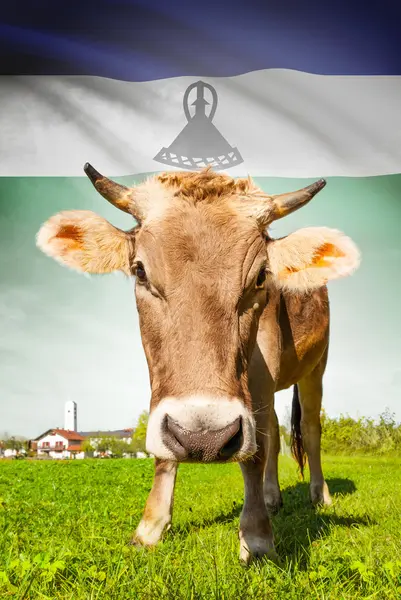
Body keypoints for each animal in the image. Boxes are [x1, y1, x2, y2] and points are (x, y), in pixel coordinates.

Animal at [36, 164, 360, 564]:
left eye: (260, 276)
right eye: (139, 271)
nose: (203, 438)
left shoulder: (263, 366)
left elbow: (254, 452)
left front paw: (257, 537)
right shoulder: (164, 380)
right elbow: (167, 448)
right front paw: (150, 528)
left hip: (316, 367)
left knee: (310, 430)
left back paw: (319, 495)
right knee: (271, 428)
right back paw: (272, 497)